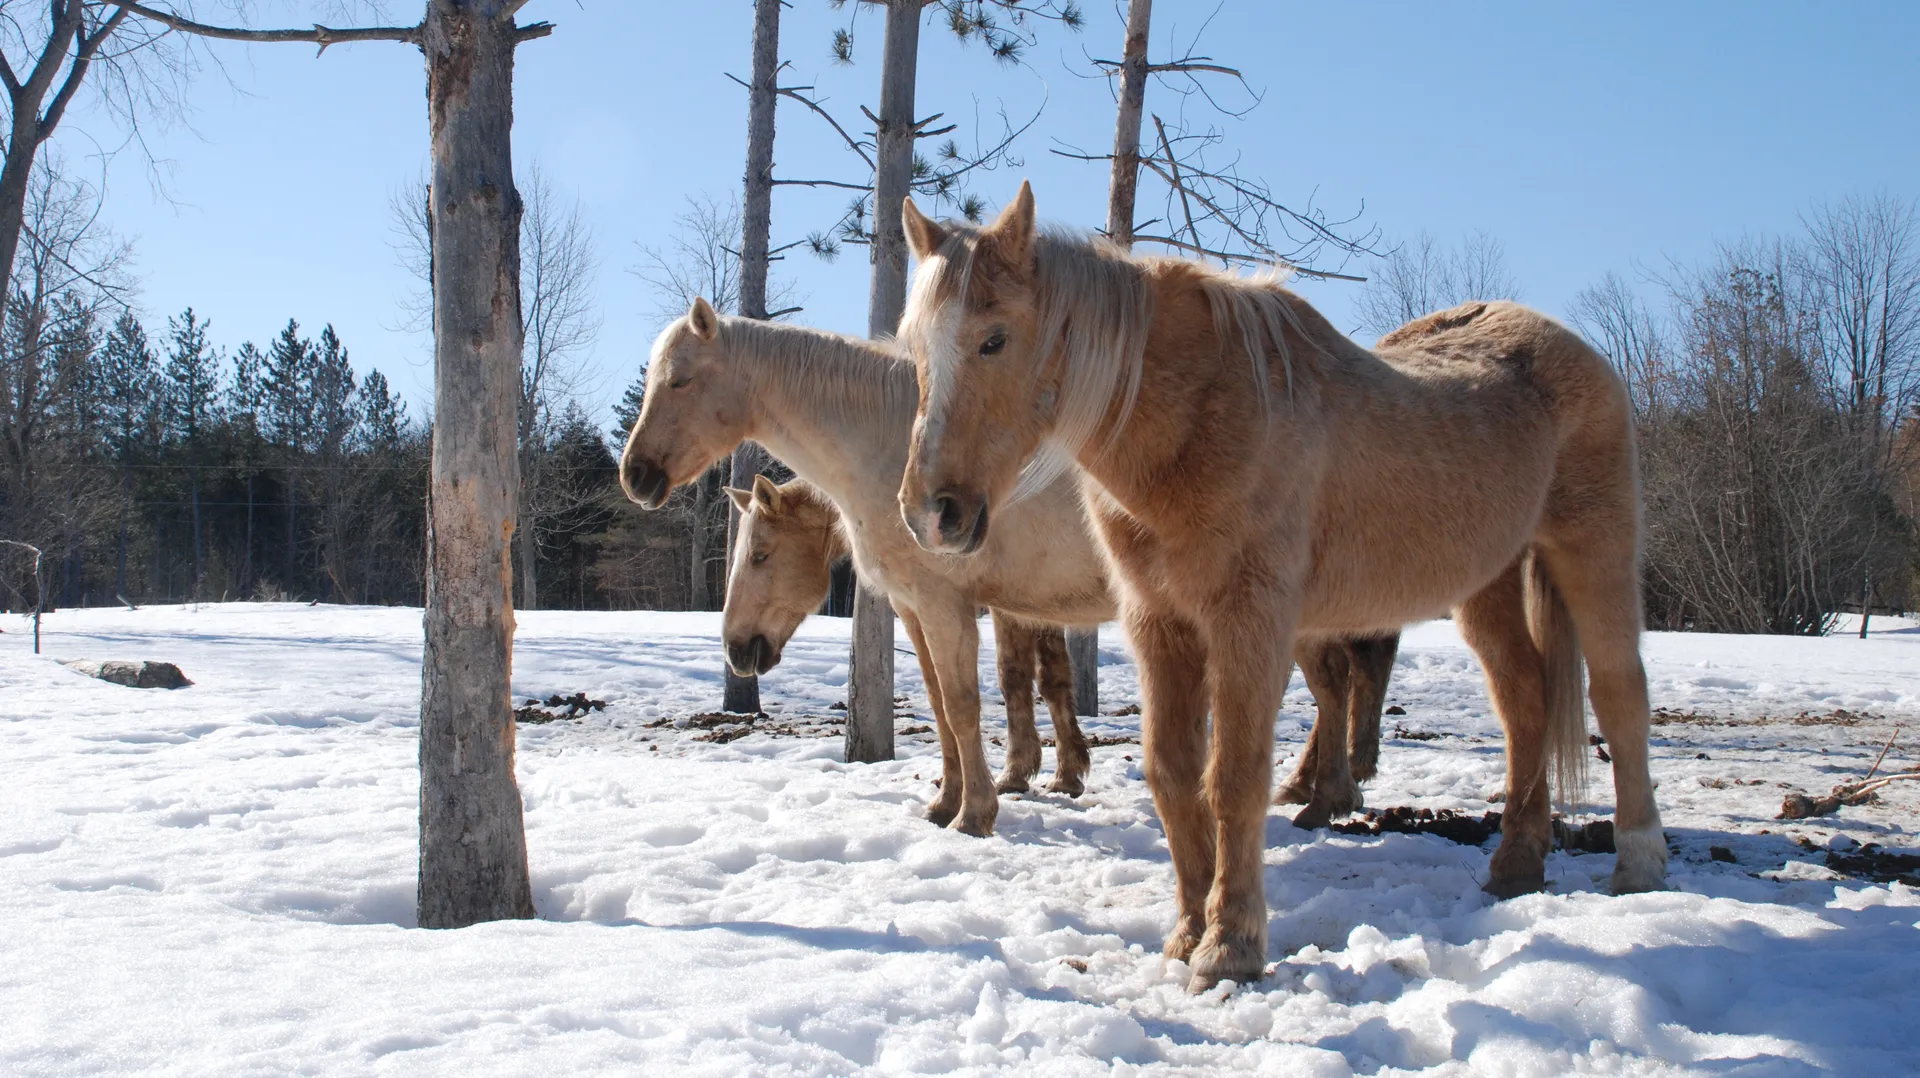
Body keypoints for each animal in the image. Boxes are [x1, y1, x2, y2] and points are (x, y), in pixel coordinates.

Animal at [720, 474, 1081, 790]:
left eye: (759, 555)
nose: (734, 649)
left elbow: (1019, 678)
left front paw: (1022, 773)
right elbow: (1049, 680)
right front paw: (1063, 773)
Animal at [893, 182, 1665, 992]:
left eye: (994, 339)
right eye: (916, 348)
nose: (930, 513)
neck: (1198, 419)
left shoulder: (1249, 620)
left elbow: (1233, 777)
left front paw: (1231, 946)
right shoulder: (1158, 623)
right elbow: (1173, 772)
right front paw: (1187, 933)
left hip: (1593, 553)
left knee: (1620, 695)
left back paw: (1639, 863)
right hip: (1487, 585)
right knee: (1525, 704)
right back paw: (1516, 865)